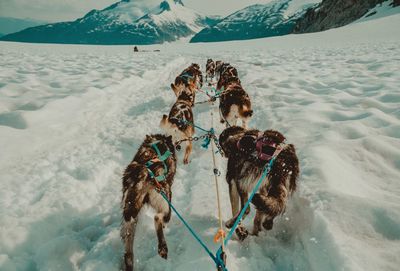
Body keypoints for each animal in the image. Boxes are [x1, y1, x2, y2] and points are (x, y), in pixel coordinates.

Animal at [121, 134, 176, 271]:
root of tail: (144, 172)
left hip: (130, 218)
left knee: (128, 252)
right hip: (166, 204)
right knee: (158, 218)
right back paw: (162, 248)